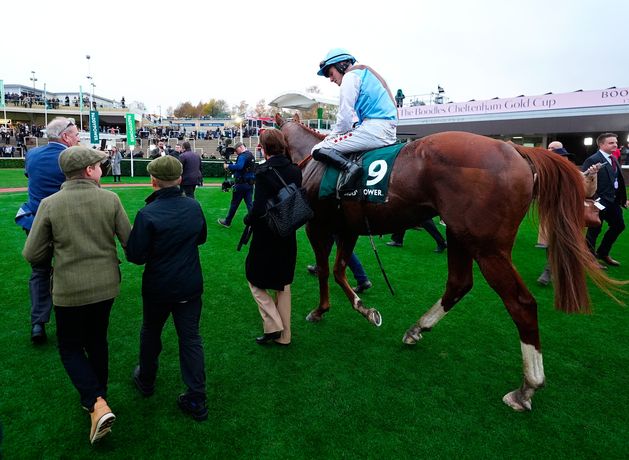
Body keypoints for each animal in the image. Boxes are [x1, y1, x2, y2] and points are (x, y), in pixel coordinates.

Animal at [274, 113, 612, 412]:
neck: (314, 162)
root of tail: (516, 149)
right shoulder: (349, 227)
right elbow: (339, 269)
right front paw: (366, 310)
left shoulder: (317, 226)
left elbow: (324, 269)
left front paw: (321, 310)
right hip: (461, 235)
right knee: (459, 284)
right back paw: (416, 329)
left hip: (488, 248)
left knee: (521, 303)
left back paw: (527, 387)